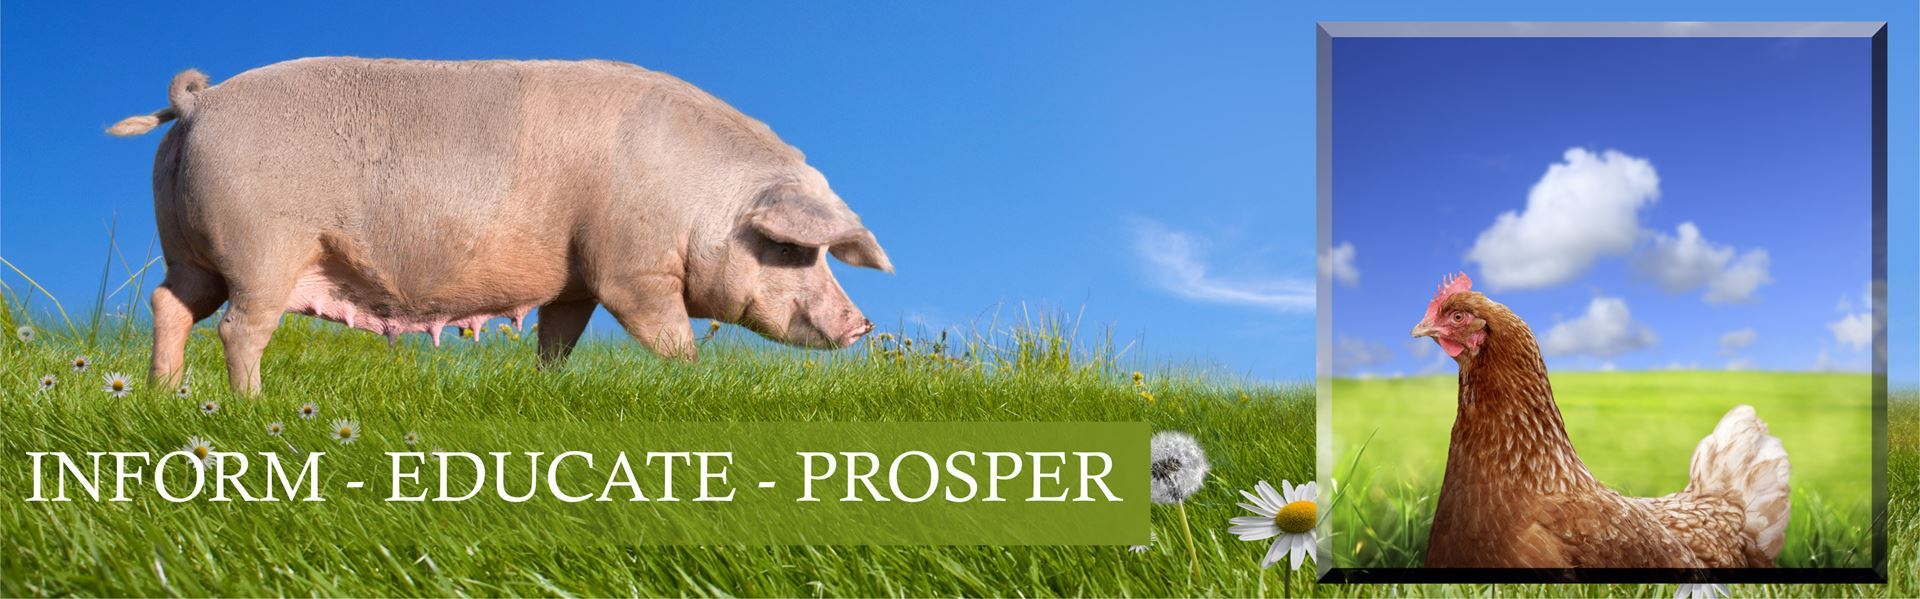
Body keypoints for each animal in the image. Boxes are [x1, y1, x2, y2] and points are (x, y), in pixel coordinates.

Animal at [109, 57, 891, 395]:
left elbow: (558, 337)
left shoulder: (574, 281)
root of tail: (201, 101)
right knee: (238, 328)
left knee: (169, 303)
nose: (862, 324)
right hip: (261, 247)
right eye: (790, 250)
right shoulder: (630, 266)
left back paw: (163, 394)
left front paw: (547, 386)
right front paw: (693, 381)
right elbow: (667, 333)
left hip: (191, 251)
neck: (698, 202)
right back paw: (251, 406)